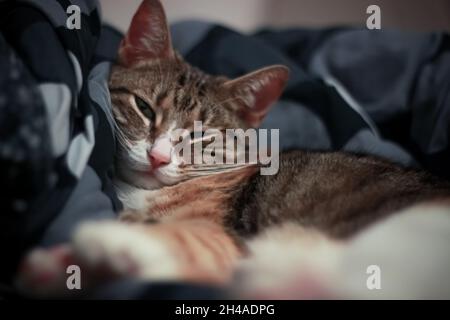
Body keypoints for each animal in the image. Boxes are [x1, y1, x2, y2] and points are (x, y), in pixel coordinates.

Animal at [15, 0, 450, 298]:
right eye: (144, 108)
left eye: (201, 136)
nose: (158, 157)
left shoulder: (226, 241)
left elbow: (185, 241)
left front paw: (107, 242)